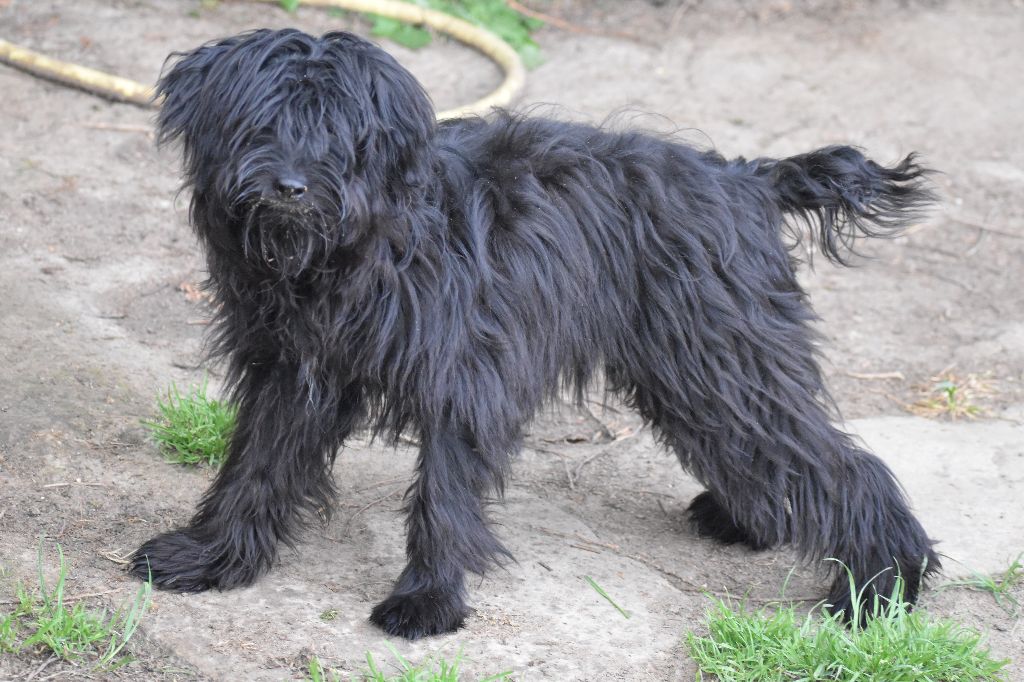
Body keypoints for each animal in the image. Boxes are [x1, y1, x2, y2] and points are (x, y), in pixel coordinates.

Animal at [130, 28, 940, 639]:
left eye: (337, 135)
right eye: (260, 124)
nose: (289, 188)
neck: (362, 249)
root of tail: (746, 178)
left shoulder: (464, 378)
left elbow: (443, 497)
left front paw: (427, 600)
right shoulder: (293, 371)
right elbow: (254, 468)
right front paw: (213, 558)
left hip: (722, 357)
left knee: (846, 467)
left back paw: (879, 588)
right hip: (695, 373)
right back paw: (757, 523)